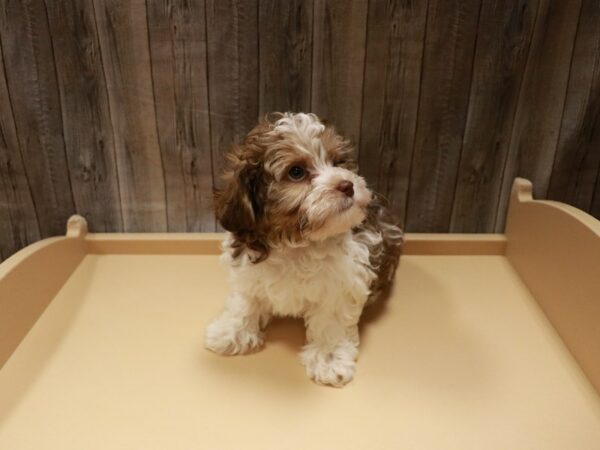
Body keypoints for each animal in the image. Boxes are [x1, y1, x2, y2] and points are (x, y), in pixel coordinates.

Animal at [205, 111, 404, 386]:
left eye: (338, 162)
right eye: (296, 172)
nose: (347, 185)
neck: (296, 243)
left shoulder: (341, 283)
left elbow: (330, 321)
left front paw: (329, 359)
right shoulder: (248, 271)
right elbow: (245, 302)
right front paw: (232, 331)